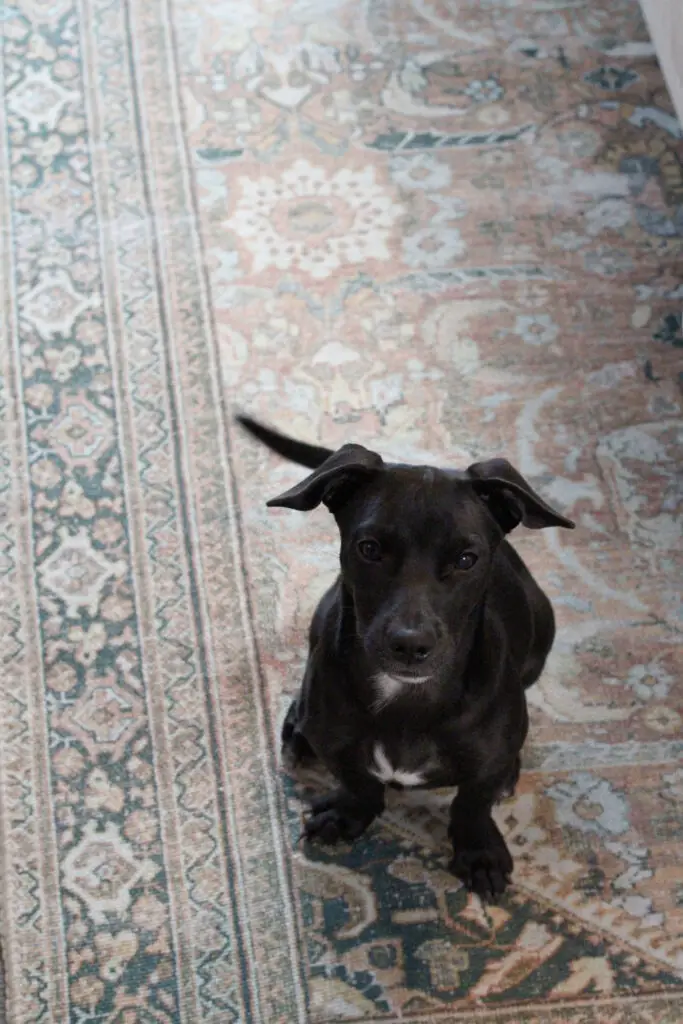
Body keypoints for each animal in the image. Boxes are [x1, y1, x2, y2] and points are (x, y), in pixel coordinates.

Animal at [237, 413, 573, 897]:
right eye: (369, 549)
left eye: (467, 559)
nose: (410, 645)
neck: (406, 699)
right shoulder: (337, 744)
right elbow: (359, 781)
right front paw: (348, 813)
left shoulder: (482, 768)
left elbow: (472, 801)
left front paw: (479, 850)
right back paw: (296, 729)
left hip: (542, 629)